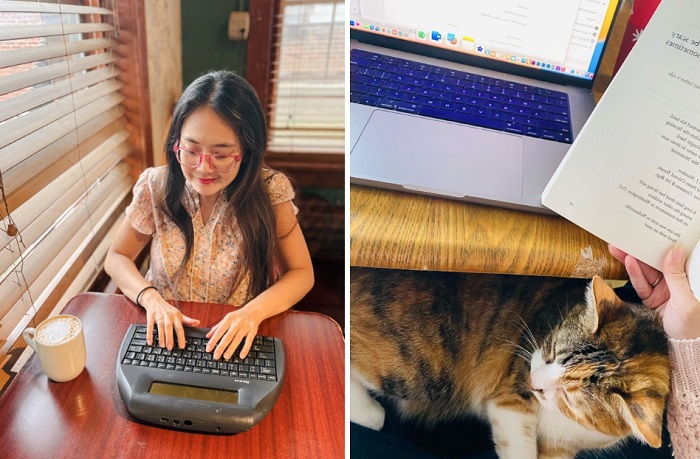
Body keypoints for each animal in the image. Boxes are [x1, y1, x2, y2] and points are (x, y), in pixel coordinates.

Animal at [352, 268, 668, 459]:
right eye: (550, 350)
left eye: (569, 397)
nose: (532, 383)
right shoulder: (510, 400)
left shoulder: (560, 447)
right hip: (421, 368)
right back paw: (369, 413)